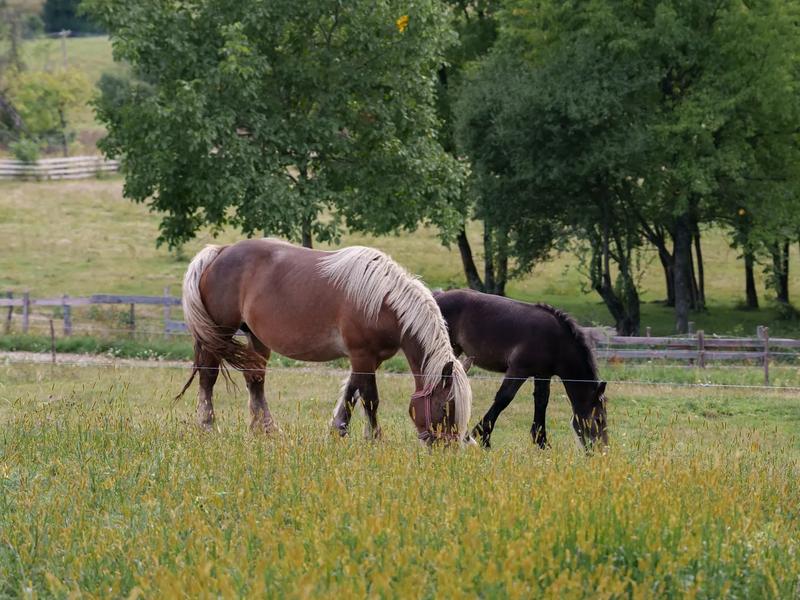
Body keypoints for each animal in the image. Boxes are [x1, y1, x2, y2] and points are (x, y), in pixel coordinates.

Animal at [177, 238, 472, 444]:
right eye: (445, 406)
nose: (445, 448)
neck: (382, 301)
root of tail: (220, 251)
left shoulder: (369, 359)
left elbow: (351, 394)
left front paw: (337, 431)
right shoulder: (362, 355)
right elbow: (370, 398)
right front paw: (374, 439)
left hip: (256, 337)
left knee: (255, 379)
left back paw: (266, 429)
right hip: (220, 333)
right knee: (208, 377)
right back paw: (207, 426)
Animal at [433, 288, 608, 450]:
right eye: (599, 419)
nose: (602, 449)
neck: (555, 341)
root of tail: (438, 295)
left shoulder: (543, 374)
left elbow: (541, 401)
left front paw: (541, 442)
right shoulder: (518, 370)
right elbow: (504, 398)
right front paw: (481, 436)